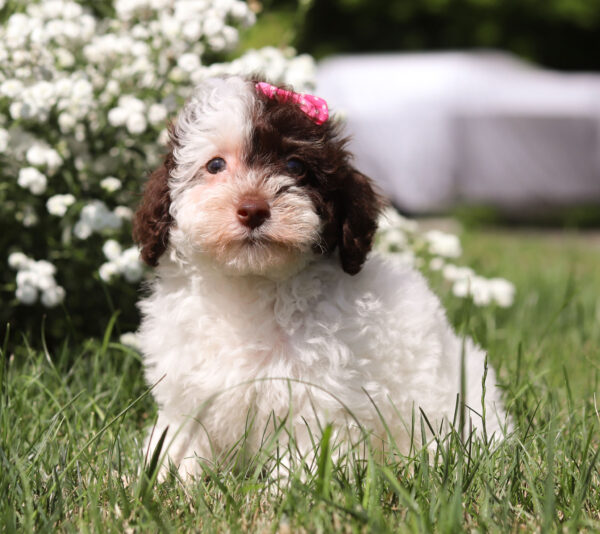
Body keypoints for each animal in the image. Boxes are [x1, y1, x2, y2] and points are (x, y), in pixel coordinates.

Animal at [134, 75, 508, 482]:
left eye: (295, 165)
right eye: (215, 165)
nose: (253, 209)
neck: (251, 282)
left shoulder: (317, 397)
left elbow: (307, 453)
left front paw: (282, 490)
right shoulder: (190, 387)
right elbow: (181, 438)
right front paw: (162, 477)